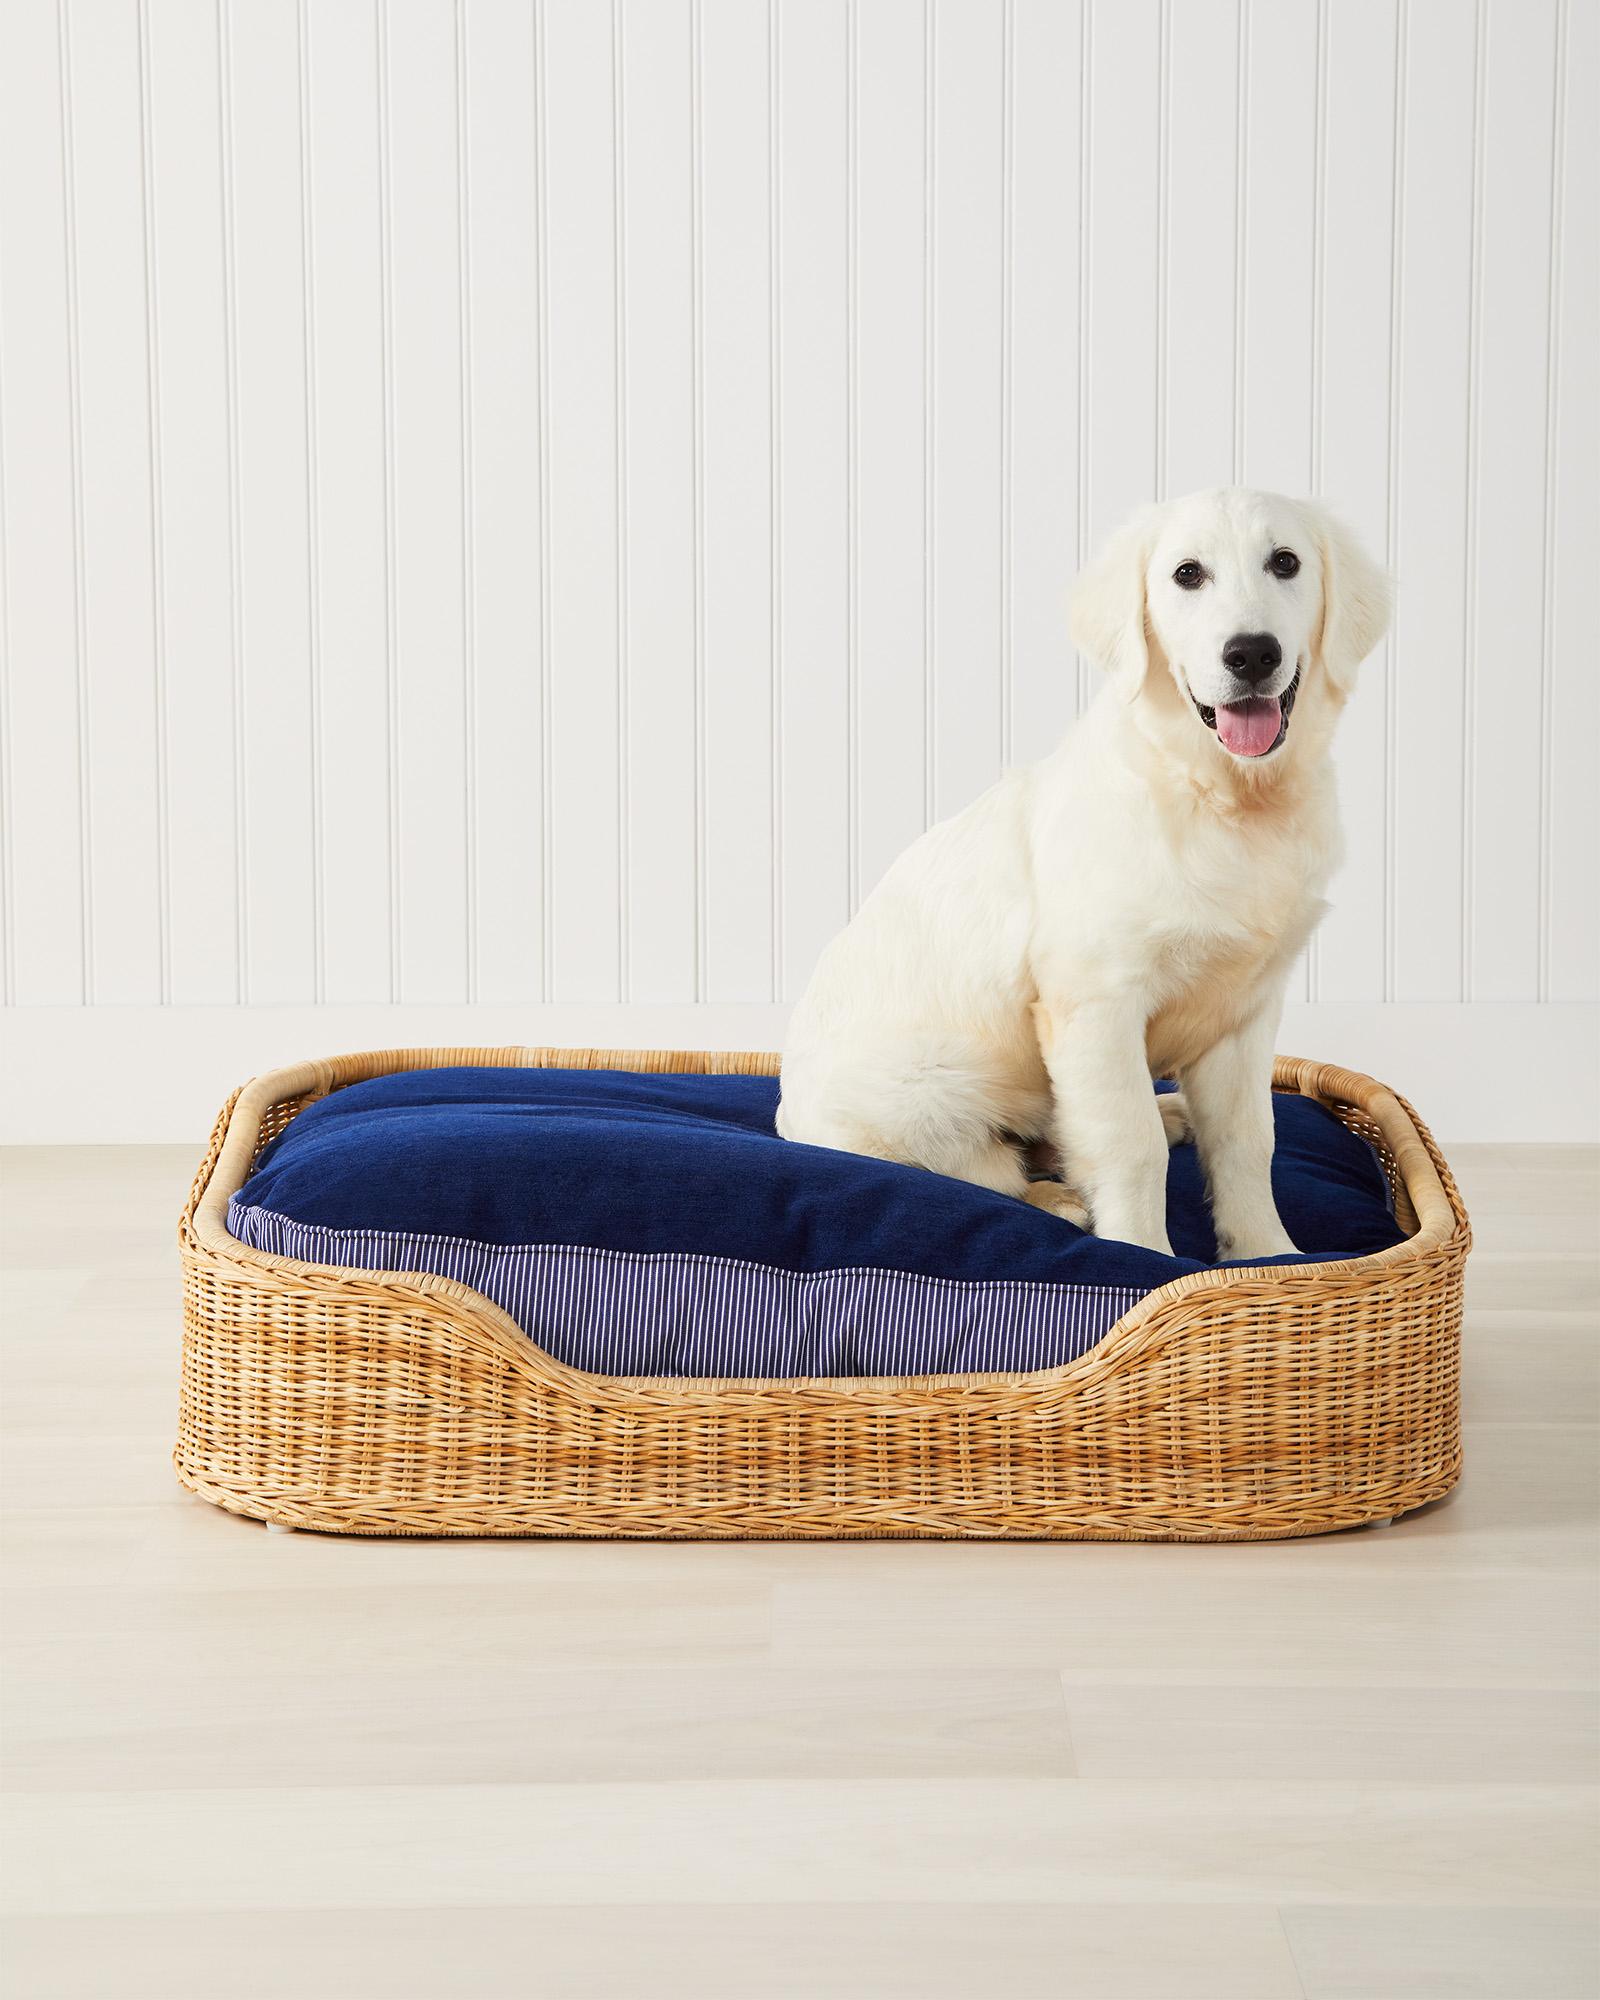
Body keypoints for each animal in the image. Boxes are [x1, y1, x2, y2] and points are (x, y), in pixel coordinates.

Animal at [776, 490, 1384, 1256]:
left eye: (1286, 563)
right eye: (1188, 574)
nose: (1251, 653)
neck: (1224, 802)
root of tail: (783, 1120)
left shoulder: (1245, 1010)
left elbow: (1250, 1141)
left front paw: (1269, 1255)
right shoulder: (1096, 1003)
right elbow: (1129, 1144)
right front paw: (1139, 1252)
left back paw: (1167, 1119)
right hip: (927, 1090)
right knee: (983, 1171)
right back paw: (1059, 1197)